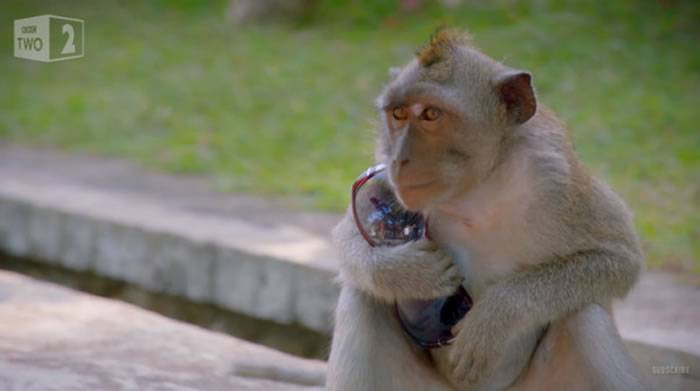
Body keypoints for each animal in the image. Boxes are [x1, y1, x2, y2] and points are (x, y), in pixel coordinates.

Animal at [328, 29, 644, 391]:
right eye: (398, 113)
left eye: (431, 114)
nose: (399, 160)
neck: (476, 188)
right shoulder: (382, 175)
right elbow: (348, 235)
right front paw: (409, 273)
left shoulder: (557, 176)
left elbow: (619, 256)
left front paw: (495, 315)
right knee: (363, 298)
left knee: (584, 317)